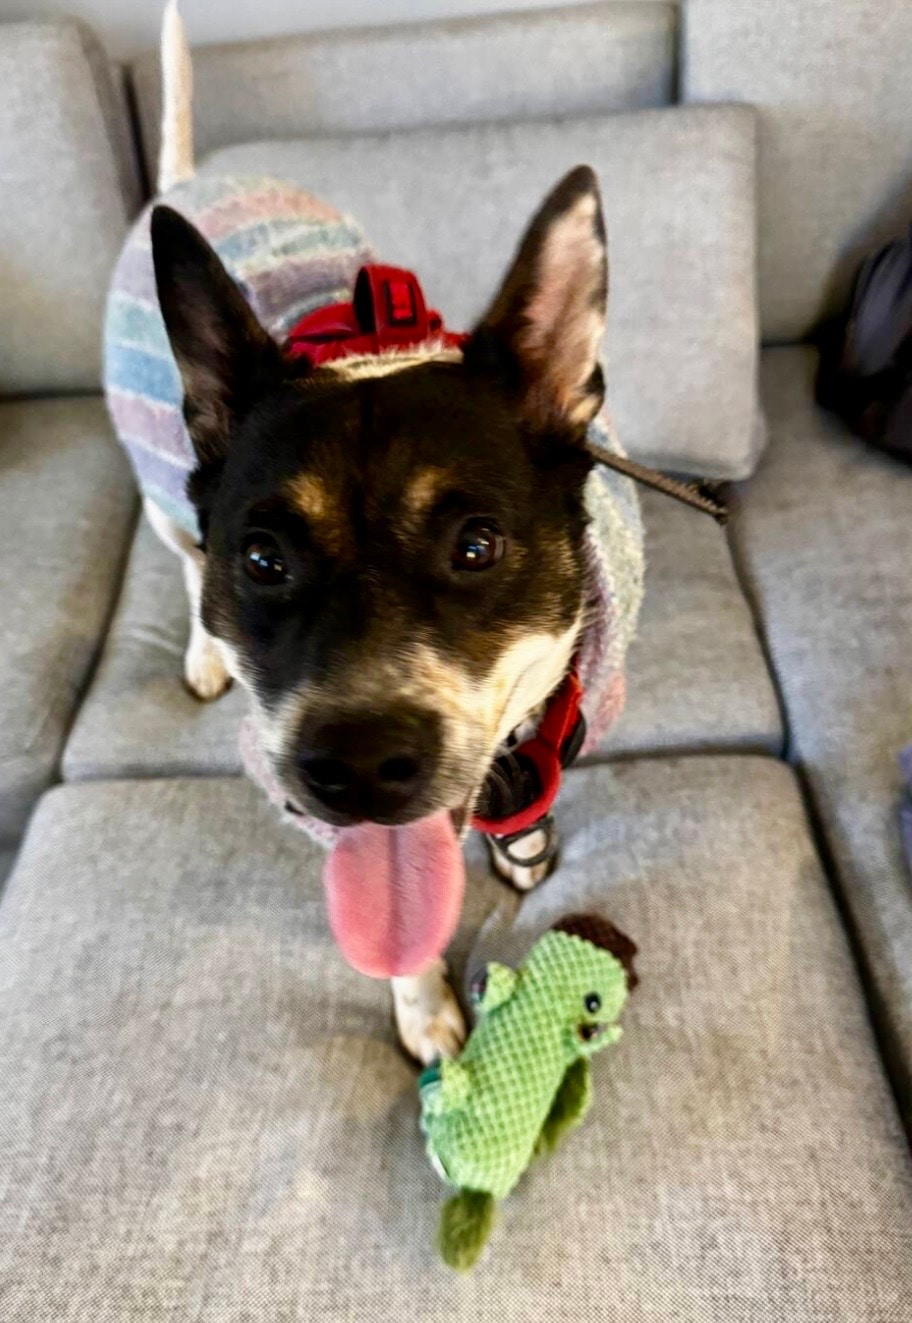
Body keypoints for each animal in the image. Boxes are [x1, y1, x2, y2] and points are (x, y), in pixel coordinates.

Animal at [104, 1, 644, 1064]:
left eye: (477, 546)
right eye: (263, 559)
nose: (356, 764)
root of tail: (187, 181)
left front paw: (523, 849)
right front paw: (425, 1006)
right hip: (154, 475)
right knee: (178, 558)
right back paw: (200, 652)